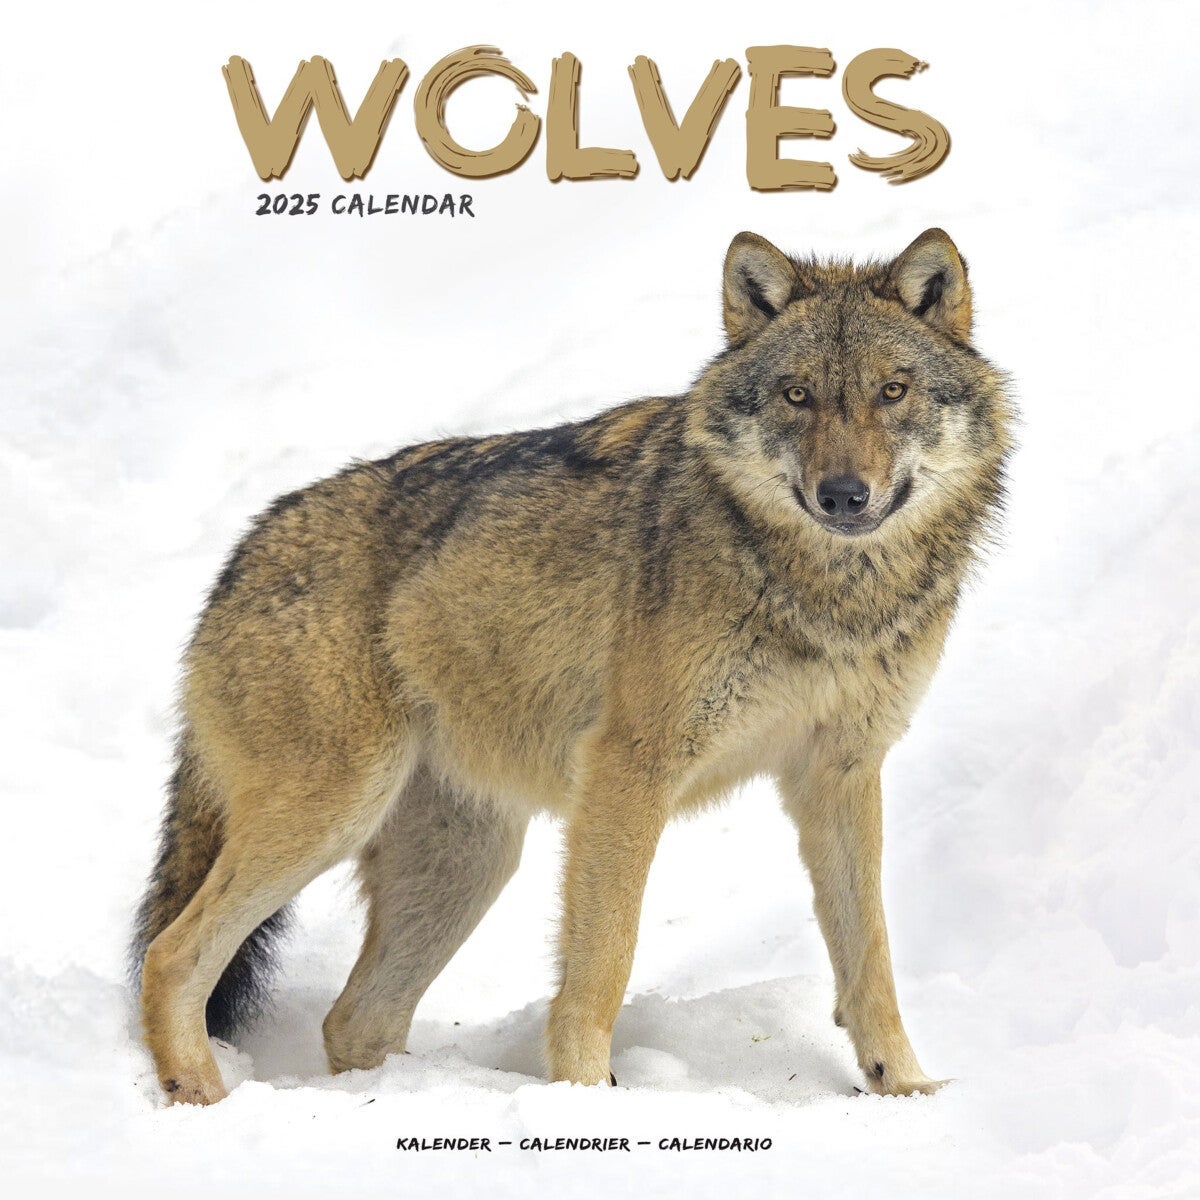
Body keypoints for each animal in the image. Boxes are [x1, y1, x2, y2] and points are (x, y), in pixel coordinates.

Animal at [131, 228, 1012, 1105]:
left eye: (893, 391)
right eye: (797, 395)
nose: (843, 495)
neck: (828, 596)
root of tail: (241, 555)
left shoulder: (842, 771)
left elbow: (872, 957)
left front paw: (905, 1086)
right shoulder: (627, 772)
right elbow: (604, 961)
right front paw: (585, 1094)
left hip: (467, 860)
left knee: (353, 1019)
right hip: (338, 809)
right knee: (171, 956)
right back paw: (202, 1097)